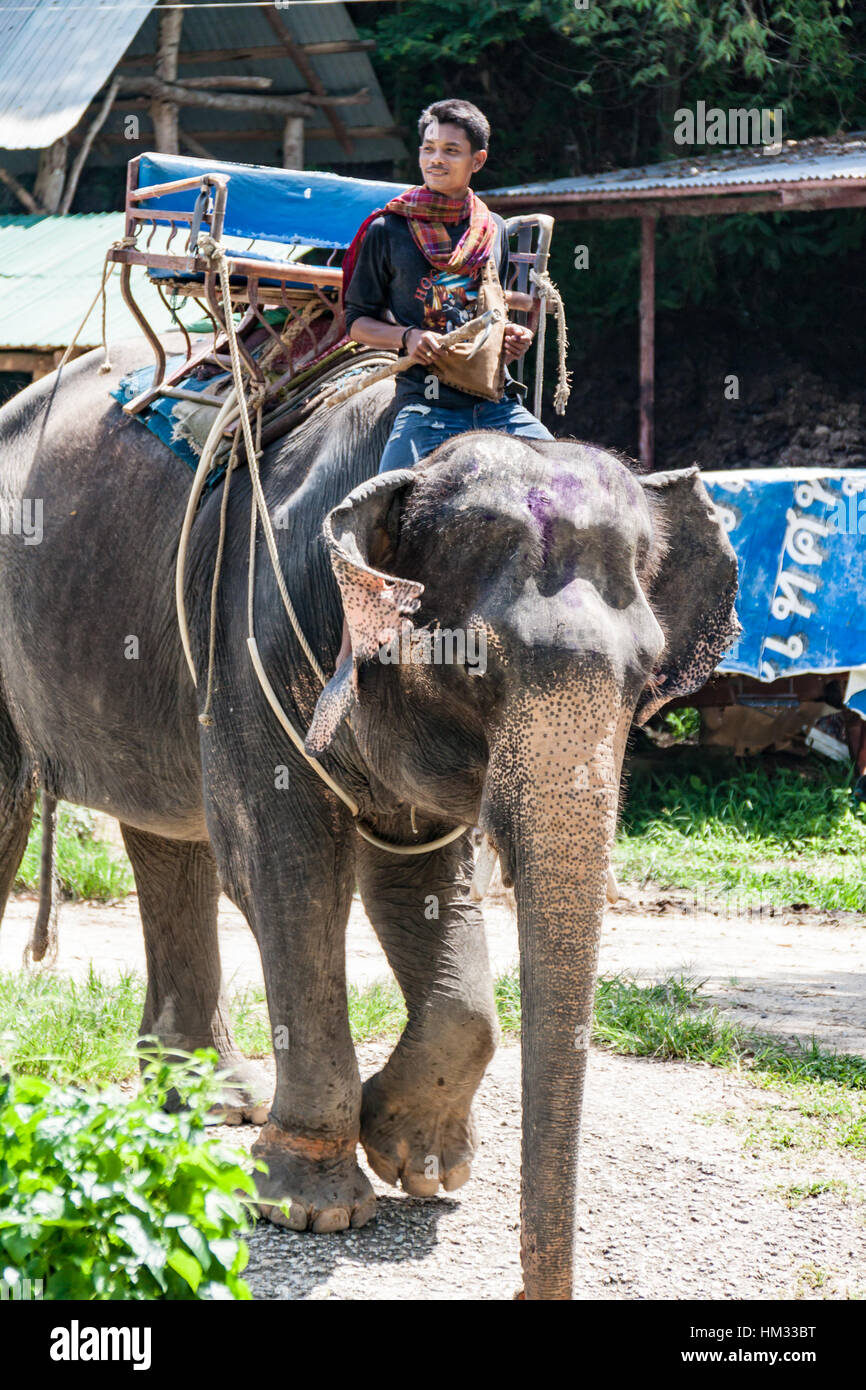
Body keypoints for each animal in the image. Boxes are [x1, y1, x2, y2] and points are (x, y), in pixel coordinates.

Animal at [0, 336, 738, 1300]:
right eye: (475, 663)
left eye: (648, 673)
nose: (528, 1286)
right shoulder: (255, 632)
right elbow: (287, 873)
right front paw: (311, 1208)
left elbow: (421, 887)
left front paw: (418, 1162)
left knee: (166, 836)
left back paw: (216, 1102)